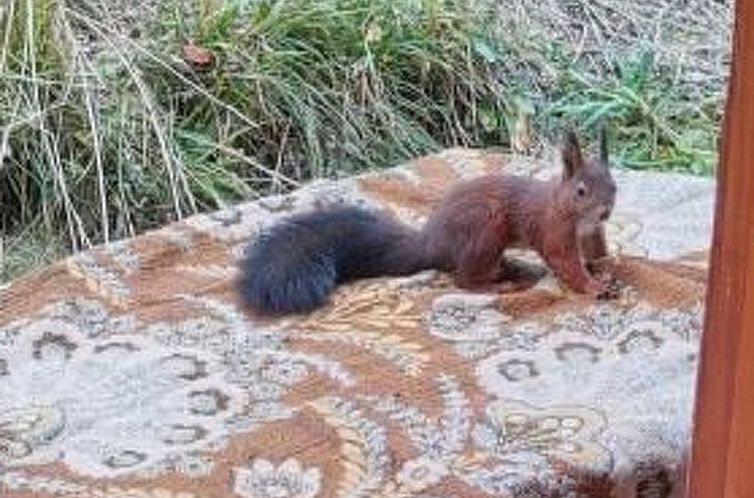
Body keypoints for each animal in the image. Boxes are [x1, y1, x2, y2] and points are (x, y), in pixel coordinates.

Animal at [238, 126, 617, 315]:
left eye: (614, 186)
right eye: (581, 191)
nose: (606, 212)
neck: (568, 210)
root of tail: (431, 243)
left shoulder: (592, 232)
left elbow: (596, 251)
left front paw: (606, 264)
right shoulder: (553, 230)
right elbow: (565, 262)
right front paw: (594, 286)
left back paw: (511, 268)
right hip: (485, 229)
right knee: (462, 279)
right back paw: (498, 286)